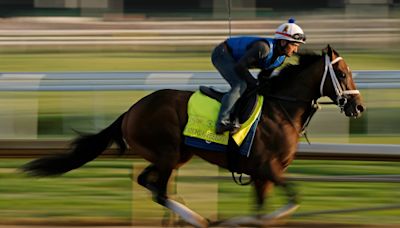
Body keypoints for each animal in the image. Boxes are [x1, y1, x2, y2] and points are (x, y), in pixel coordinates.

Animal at [21, 44, 366, 226]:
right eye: (342, 73)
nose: (359, 106)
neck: (281, 109)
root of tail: (131, 110)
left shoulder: (261, 174)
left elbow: (262, 208)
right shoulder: (268, 167)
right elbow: (293, 197)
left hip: (175, 155)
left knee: (147, 181)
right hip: (169, 151)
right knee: (159, 190)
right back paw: (199, 219)